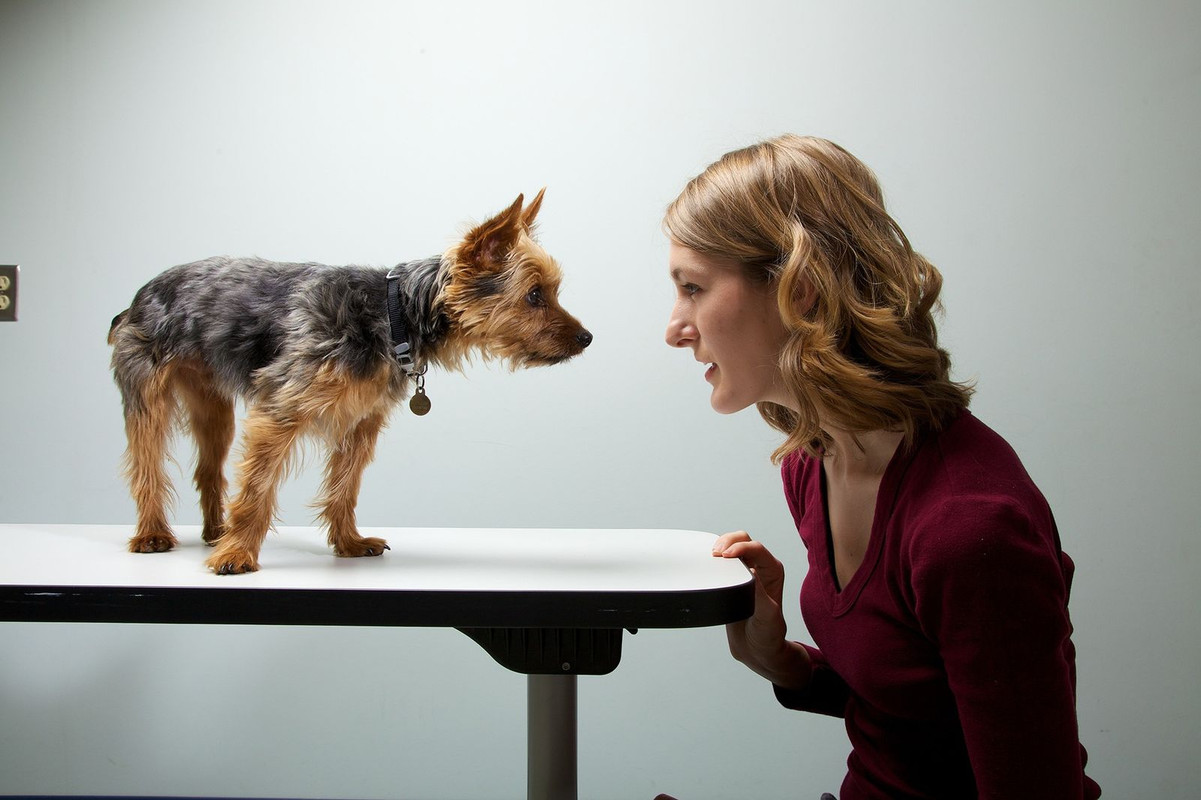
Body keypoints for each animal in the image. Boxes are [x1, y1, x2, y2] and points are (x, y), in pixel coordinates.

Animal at [110, 189, 588, 569]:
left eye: (552, 292)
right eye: (534, 296)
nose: (587, 338)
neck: (395, 314)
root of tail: (138, 296)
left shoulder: (361, 420)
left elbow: (346, 484)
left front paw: (348, 542)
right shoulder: (279, 412)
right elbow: (258, 489)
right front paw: (238, 554)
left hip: (212, 407)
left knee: (209, 468)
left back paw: (215, 531)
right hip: (149, 393)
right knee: (146, 462)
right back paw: (155, 534)